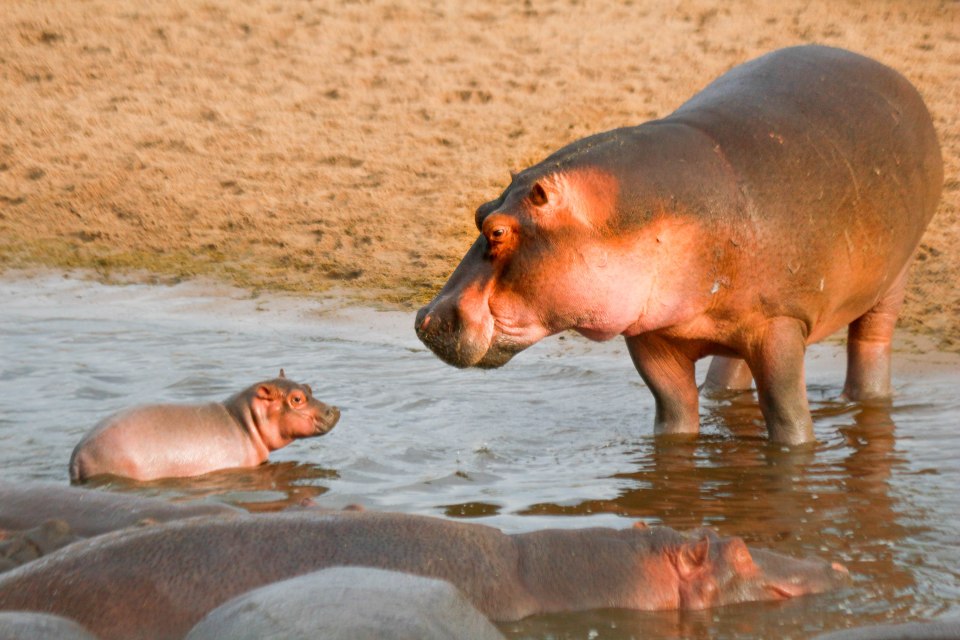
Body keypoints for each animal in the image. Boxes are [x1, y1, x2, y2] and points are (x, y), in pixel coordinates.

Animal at [414, 45, 943, 445]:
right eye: (479, 211)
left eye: (497, 230)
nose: (425, 318)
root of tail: (894, 76)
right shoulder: (652, 340)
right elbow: (674, 415)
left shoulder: (779, 327)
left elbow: (788, 416)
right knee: (730, 369)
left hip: (893, 277)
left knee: (872, 343)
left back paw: (868, 399)